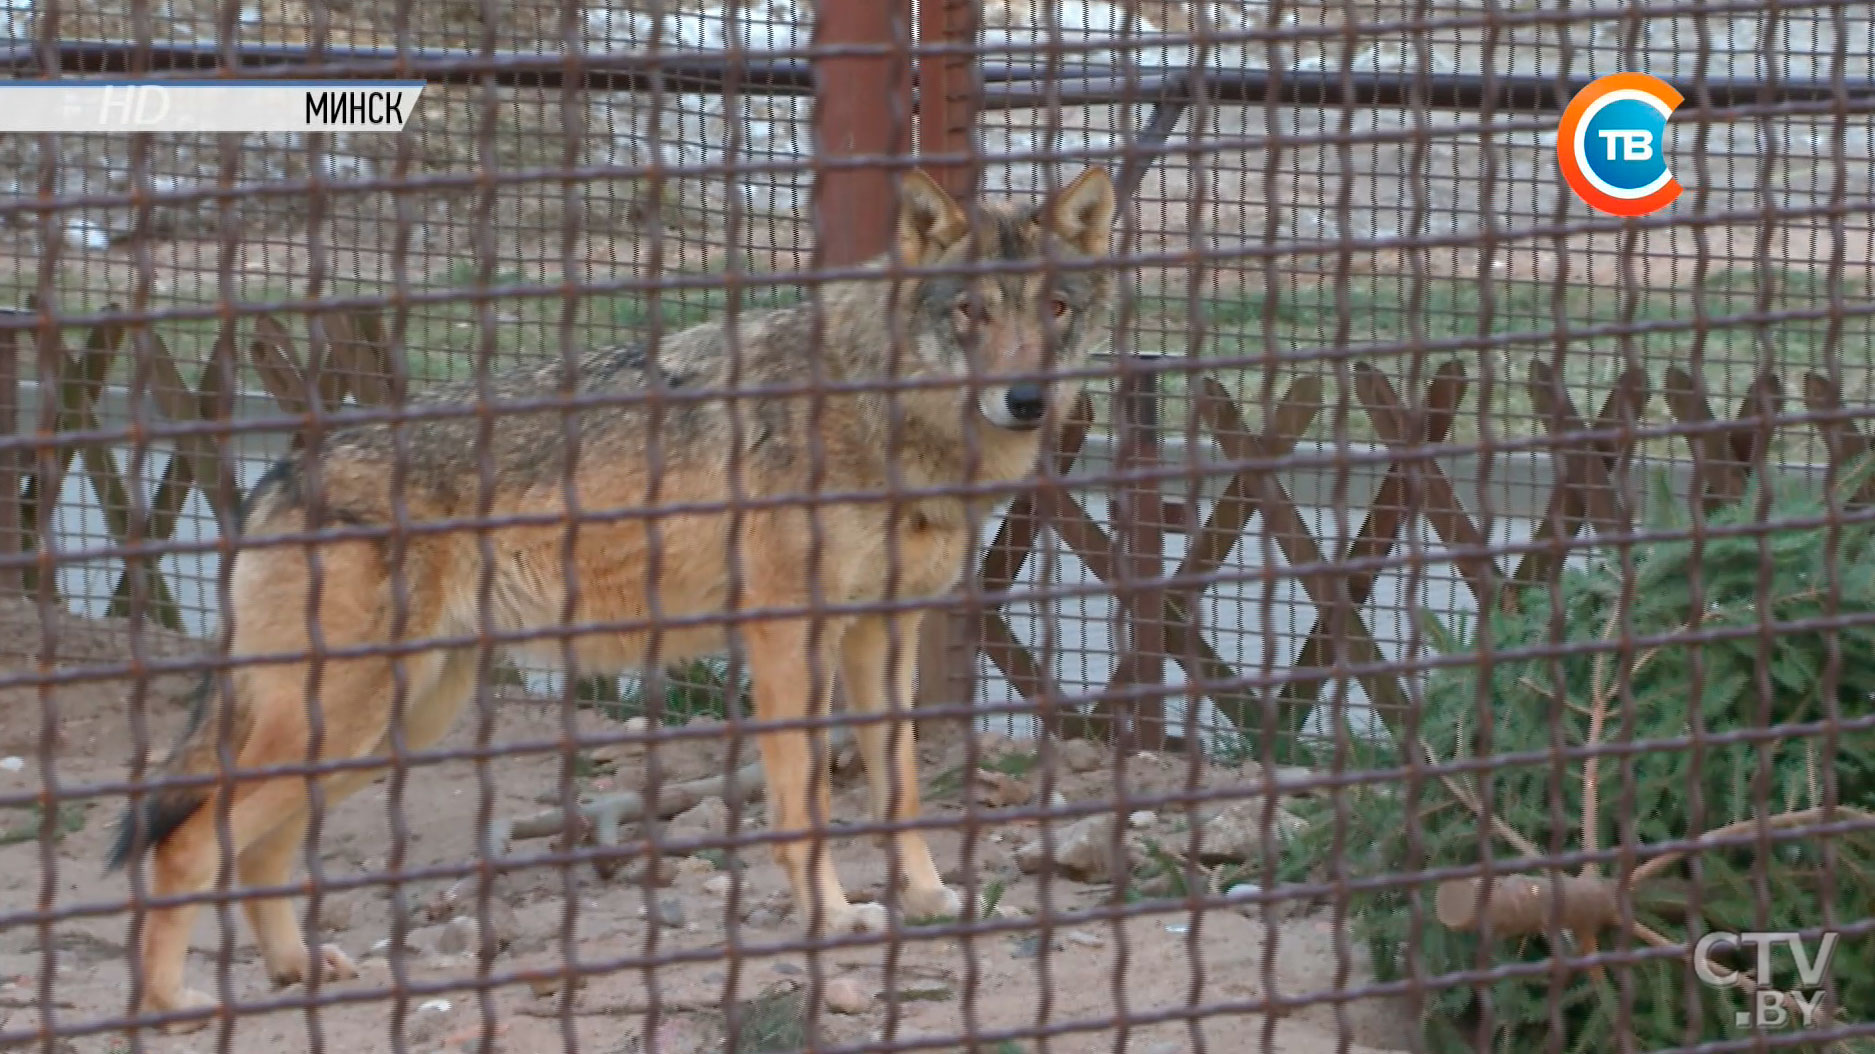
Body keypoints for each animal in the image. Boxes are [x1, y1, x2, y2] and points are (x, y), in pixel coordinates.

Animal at [106, 164, 1110, 1027]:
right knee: (185, 844)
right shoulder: (788, 639)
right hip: (342, 719)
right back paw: (168, 1003)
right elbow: (803, 810)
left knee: (260, 849)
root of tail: (278, 472)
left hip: (388, 722)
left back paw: (297, 970)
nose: (1025, 399)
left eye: (1056, 309)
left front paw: (930, 897)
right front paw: (830, 919)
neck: (885, 416)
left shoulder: (881, 638)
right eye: (970, 313)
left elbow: (898, 793)